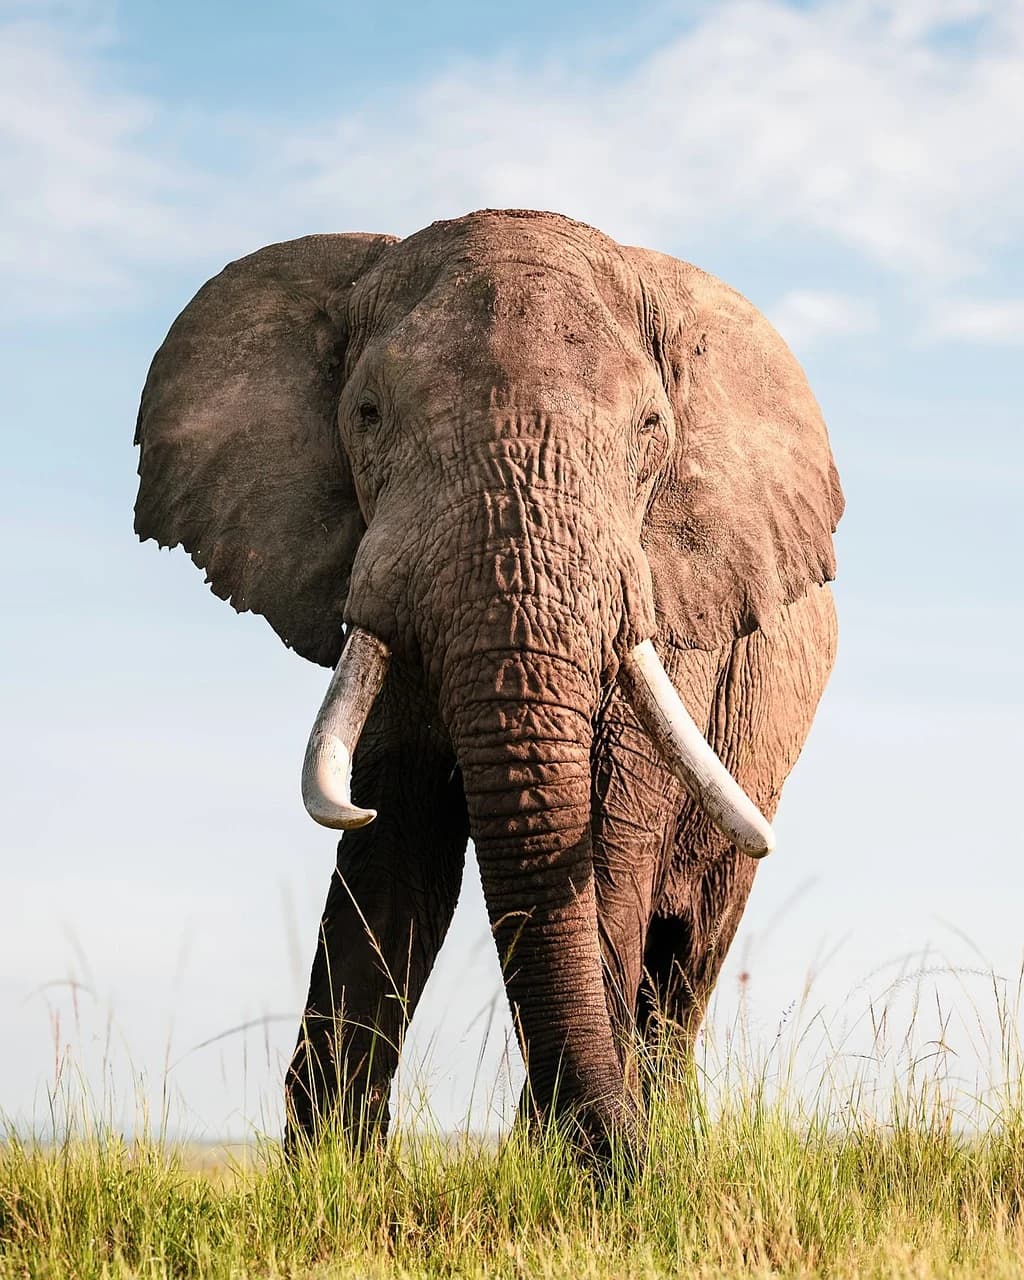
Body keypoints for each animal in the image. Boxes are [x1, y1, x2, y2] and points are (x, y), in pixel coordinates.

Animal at [133, 208, 843, 1160]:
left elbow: (602, 839)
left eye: (650, 429)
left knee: (689, 952)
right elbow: (397, 844)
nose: (611, 1156)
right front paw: (332, 1170)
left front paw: (574, 1163)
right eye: (367, 415)